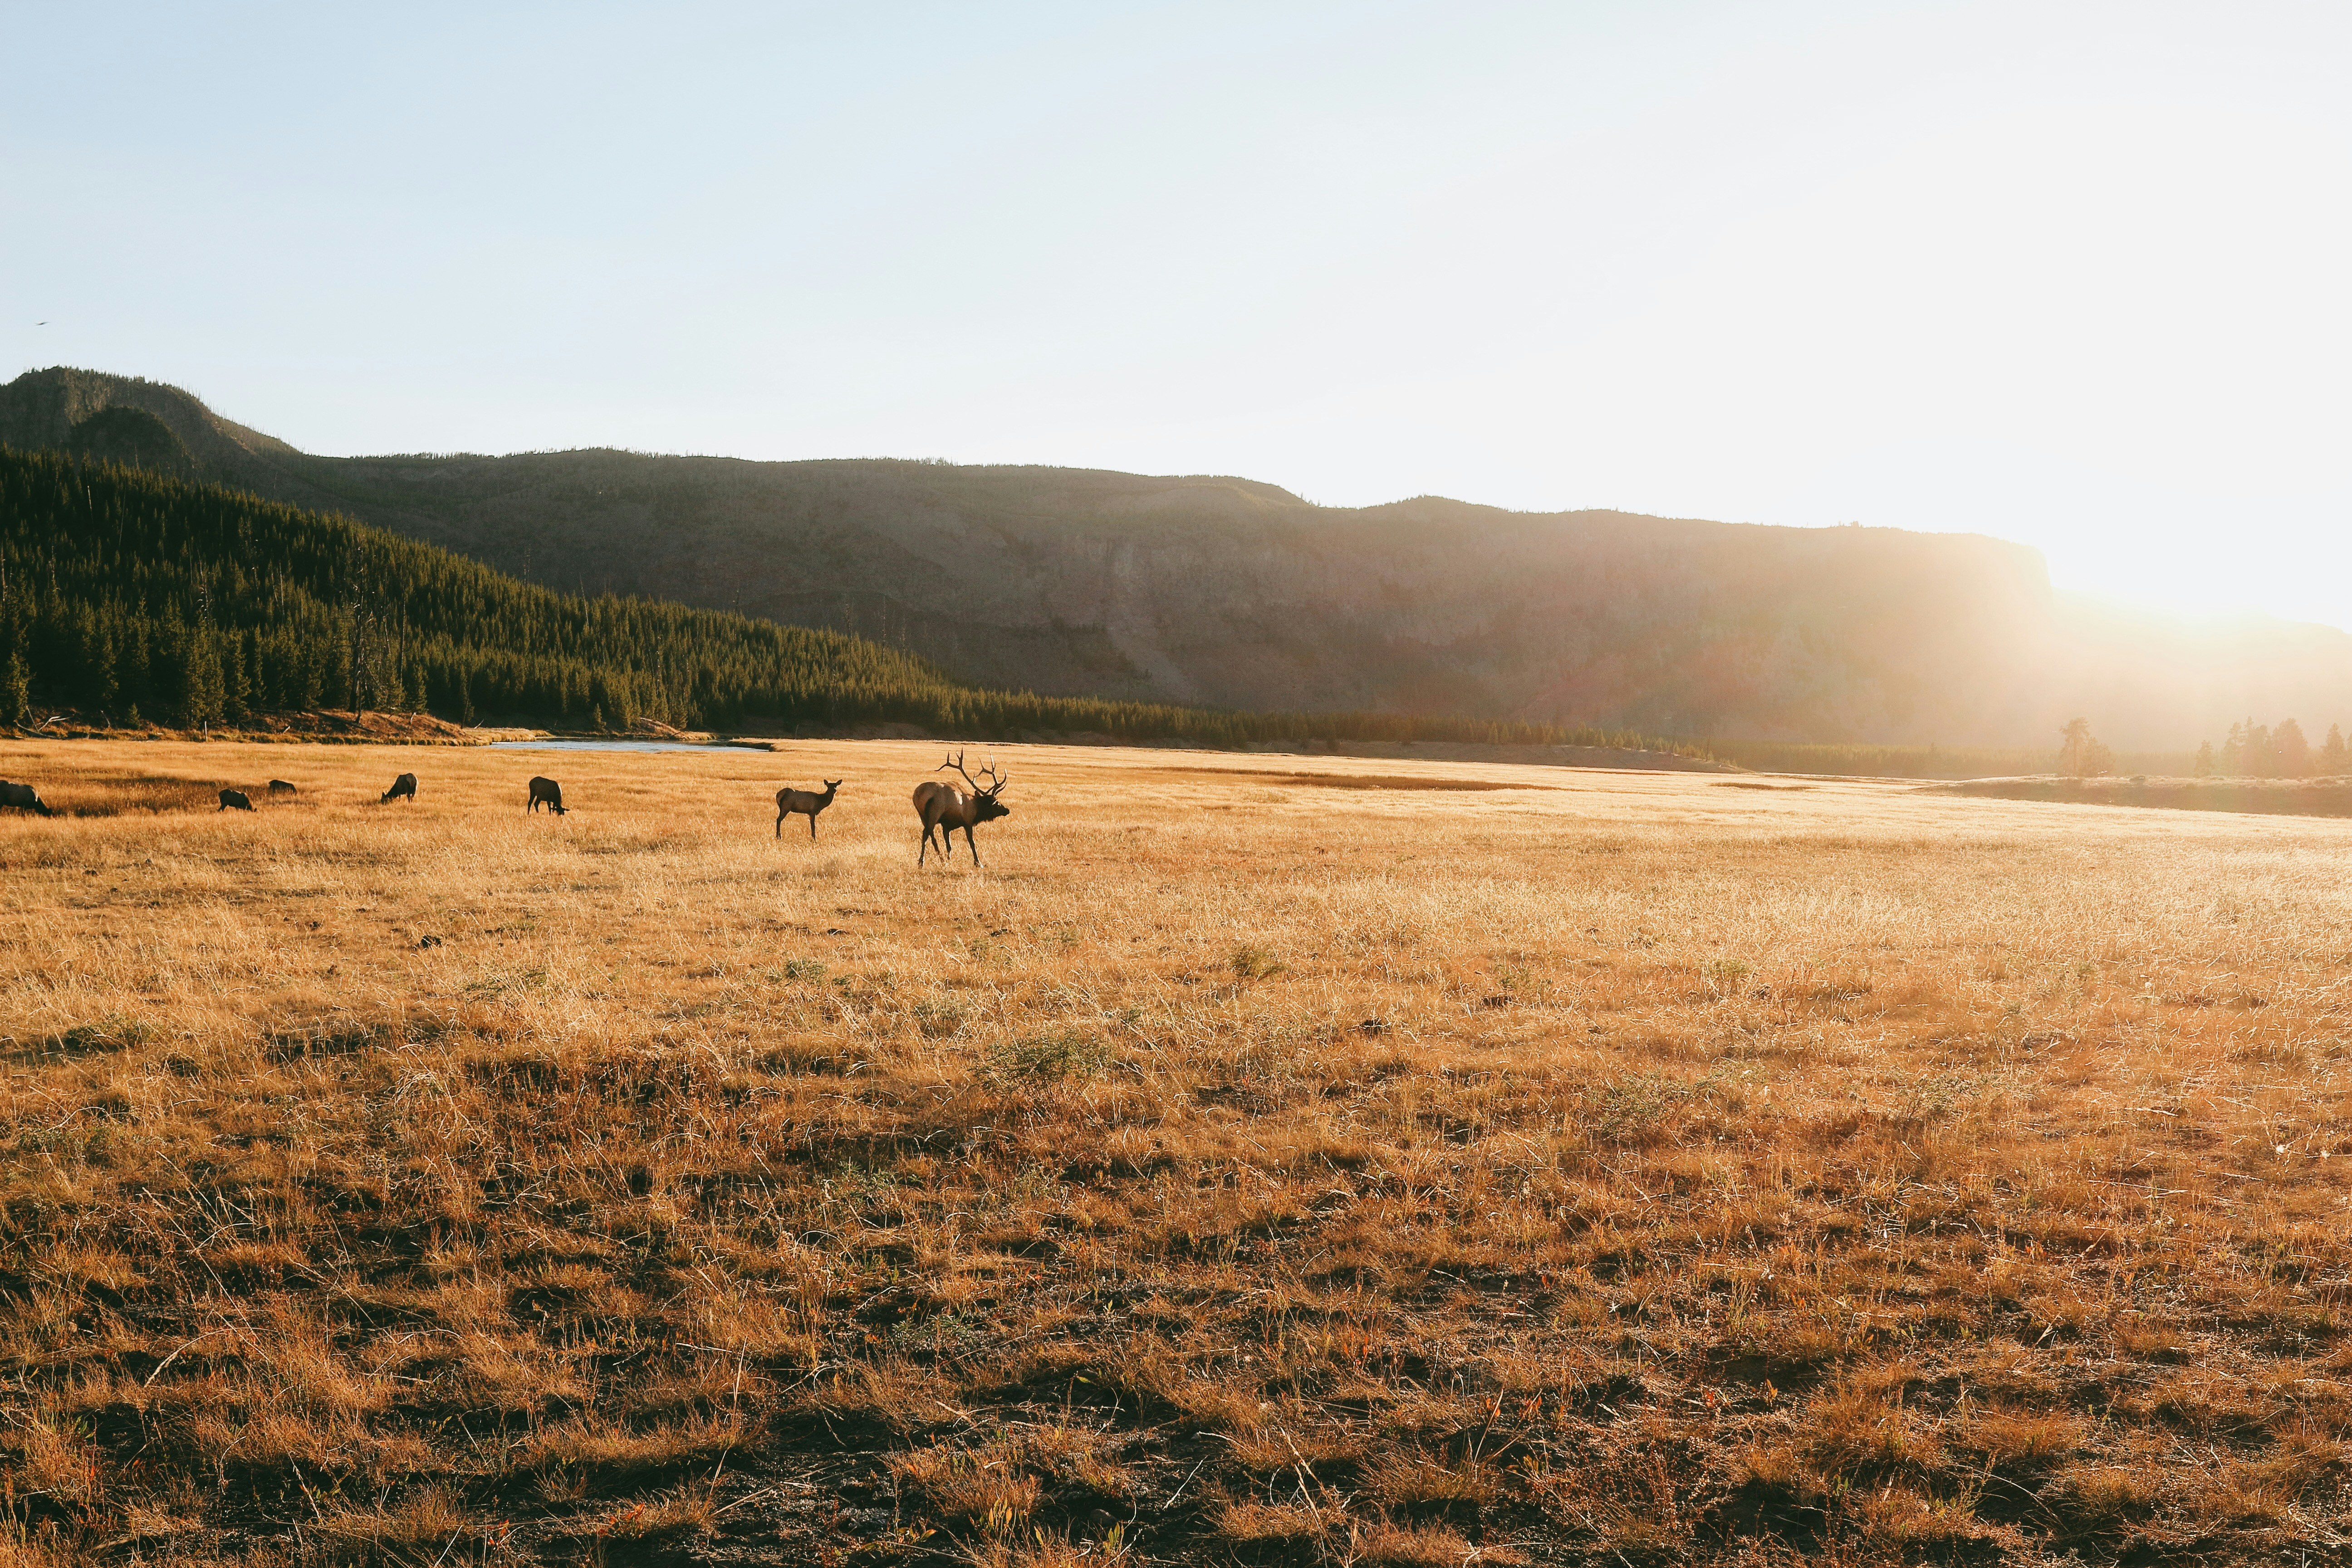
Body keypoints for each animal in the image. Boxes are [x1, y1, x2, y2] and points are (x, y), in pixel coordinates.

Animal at [775, 779, 843, 840]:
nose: (835, 790)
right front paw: (814, 839)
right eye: (829, 786)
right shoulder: (812, 811)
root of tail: (778, 795)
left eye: (836, 786)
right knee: (779, 819)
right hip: (786, 807)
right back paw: (779, 837)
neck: (821, 802)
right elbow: (813, 826)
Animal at [914, 751, 1009, 867]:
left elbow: (949, 845)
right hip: (935, 812)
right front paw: (978, 863)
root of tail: (918, 794)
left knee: (931, 835)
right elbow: (972, 842)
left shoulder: (947, 826)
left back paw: (939, 859)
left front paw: (948, 860)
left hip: (922, 815)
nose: (1007, 810)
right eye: (997, 803)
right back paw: (922, 862)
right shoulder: (968, 821)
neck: (975, 808)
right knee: (926, 833)